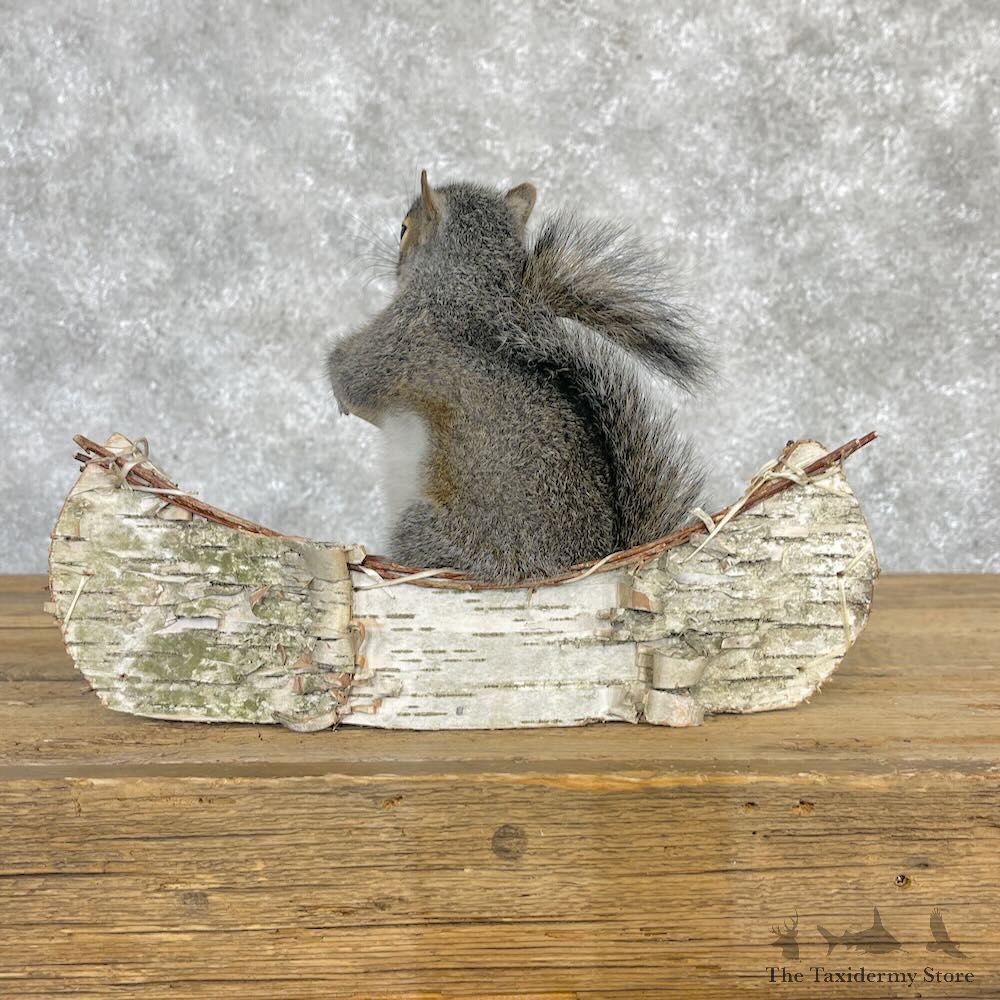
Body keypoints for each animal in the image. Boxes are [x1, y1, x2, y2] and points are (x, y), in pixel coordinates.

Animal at [326, 171, 710, 583]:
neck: (463, 290)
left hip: (431, 531)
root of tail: (596, 559)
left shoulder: (397, 339)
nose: (393, 263)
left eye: (403, 228)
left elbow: (351, 378)